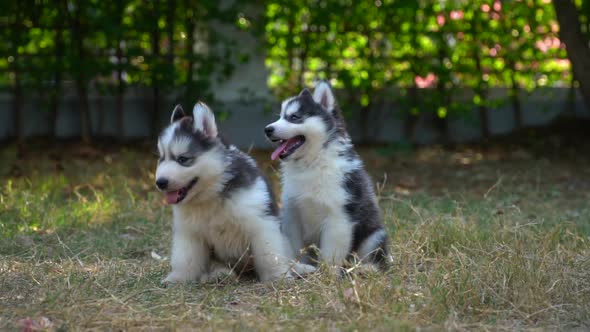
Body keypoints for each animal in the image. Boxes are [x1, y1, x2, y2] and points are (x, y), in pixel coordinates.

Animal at [157, 101, 314, 282]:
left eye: (183, 159)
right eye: (161, 158)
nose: (160, 182)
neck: (213, 192)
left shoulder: (262, 224)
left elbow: (270, 255)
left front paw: (277, 277)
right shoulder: (189, 233)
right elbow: (185, 258)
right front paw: (178, 278)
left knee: (287, 256)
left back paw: (299, 268)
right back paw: (219, 273)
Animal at [266, 81, 390, 272]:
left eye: (294, 117)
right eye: (280, 117)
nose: (267, 129)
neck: (313, 163)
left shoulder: (339, 218)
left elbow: (330, 254)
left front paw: (327, 274)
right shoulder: (292, 215)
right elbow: (295, 247)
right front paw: (300, 267)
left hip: (375, 235)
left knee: (377, 258)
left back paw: (365, 269)